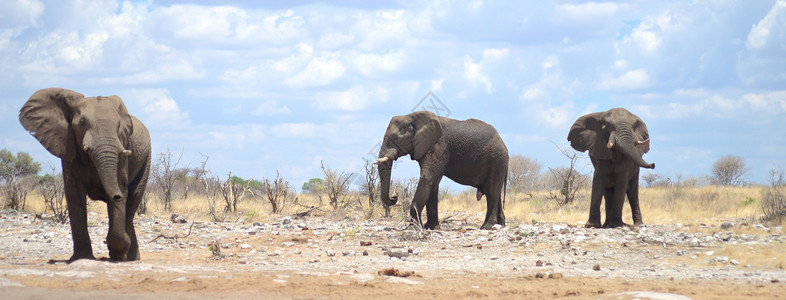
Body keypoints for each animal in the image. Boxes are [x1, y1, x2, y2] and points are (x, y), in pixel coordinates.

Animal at [19, 87, 151, 262]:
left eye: (118, 126)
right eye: (82, 123)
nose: (116, 196)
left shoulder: (123, 147)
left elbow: (122, 187)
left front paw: (117, 254)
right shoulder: (67, 145)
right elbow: (74, 194)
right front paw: (82, 258)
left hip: (146, 159)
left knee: (133, 198)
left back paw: (129, 256)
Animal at [376, 110, 508, 230]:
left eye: (395, 138)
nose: (394, 197)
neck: (413, 117)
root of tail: (504, 145)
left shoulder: (439, 147)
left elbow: (428, 178)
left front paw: (415, 227)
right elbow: (433, 183)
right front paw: (431, 227)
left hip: (496, 159)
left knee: (492, 191)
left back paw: (487, 227)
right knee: (495, 192)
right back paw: (500, 225)